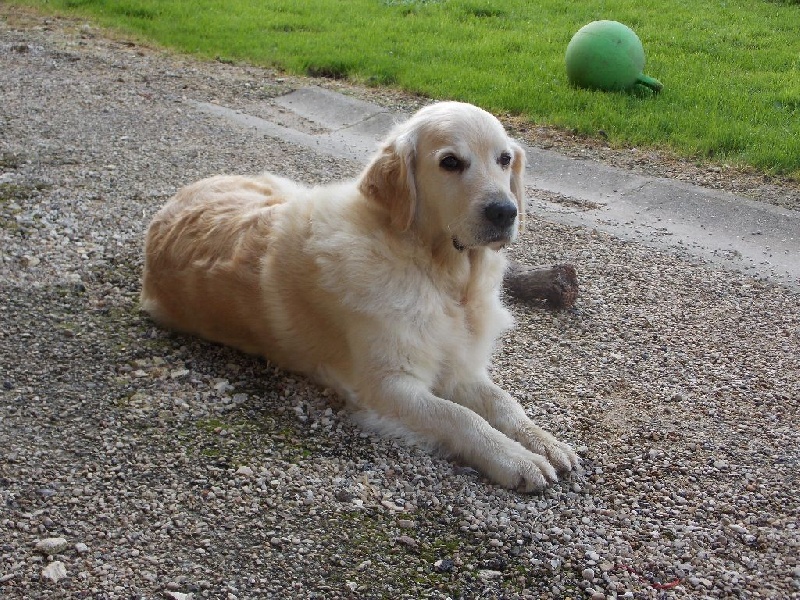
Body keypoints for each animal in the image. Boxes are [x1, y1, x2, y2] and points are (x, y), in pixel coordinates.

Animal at [144, 101, 580, 490]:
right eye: (451, 162)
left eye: (504, 159)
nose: (505, 211)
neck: (442, 278)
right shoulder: (387, 386)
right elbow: (461, 417)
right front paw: (515, 459)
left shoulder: (459, 366)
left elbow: (505, 402)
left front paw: (544, 441)